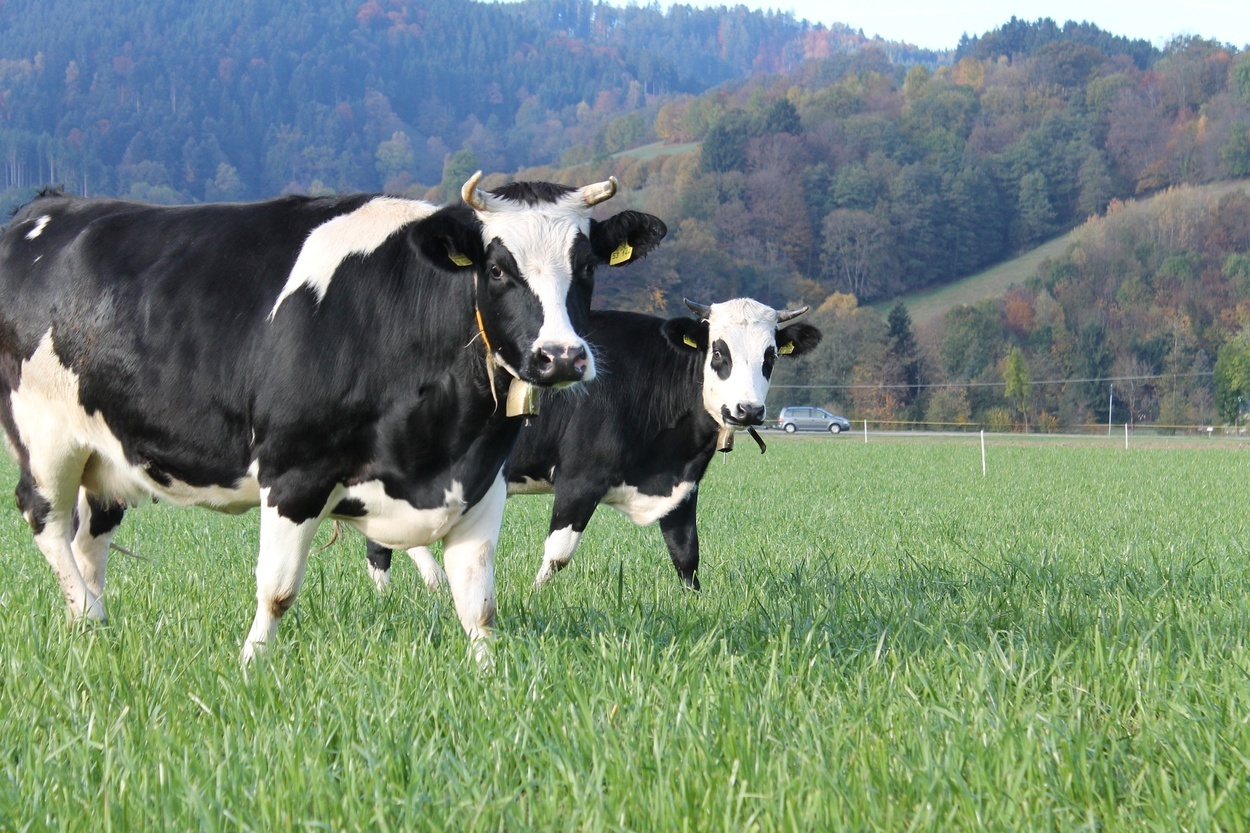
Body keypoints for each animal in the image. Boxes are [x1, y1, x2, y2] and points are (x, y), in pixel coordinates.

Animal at [0, 173, 667, 661]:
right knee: (46, 518)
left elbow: (478, 605)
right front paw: (251, 666)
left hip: (104, 452)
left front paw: (489, 677)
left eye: (587, 268)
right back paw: (89, 617)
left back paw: (88, 626)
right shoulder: (294, 471)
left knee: (89, 538)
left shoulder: (480, 482)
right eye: (498, 269)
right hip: (44, 437)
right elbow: (276, 590)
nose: (561, 357)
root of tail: (48, 203)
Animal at [364, 298, 821, 592]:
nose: (748, 410)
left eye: (770, 356)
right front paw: (536, 597)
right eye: (718, 351)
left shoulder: (682, 486)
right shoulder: (579, 479)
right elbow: (558, 553)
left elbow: (686, 555)